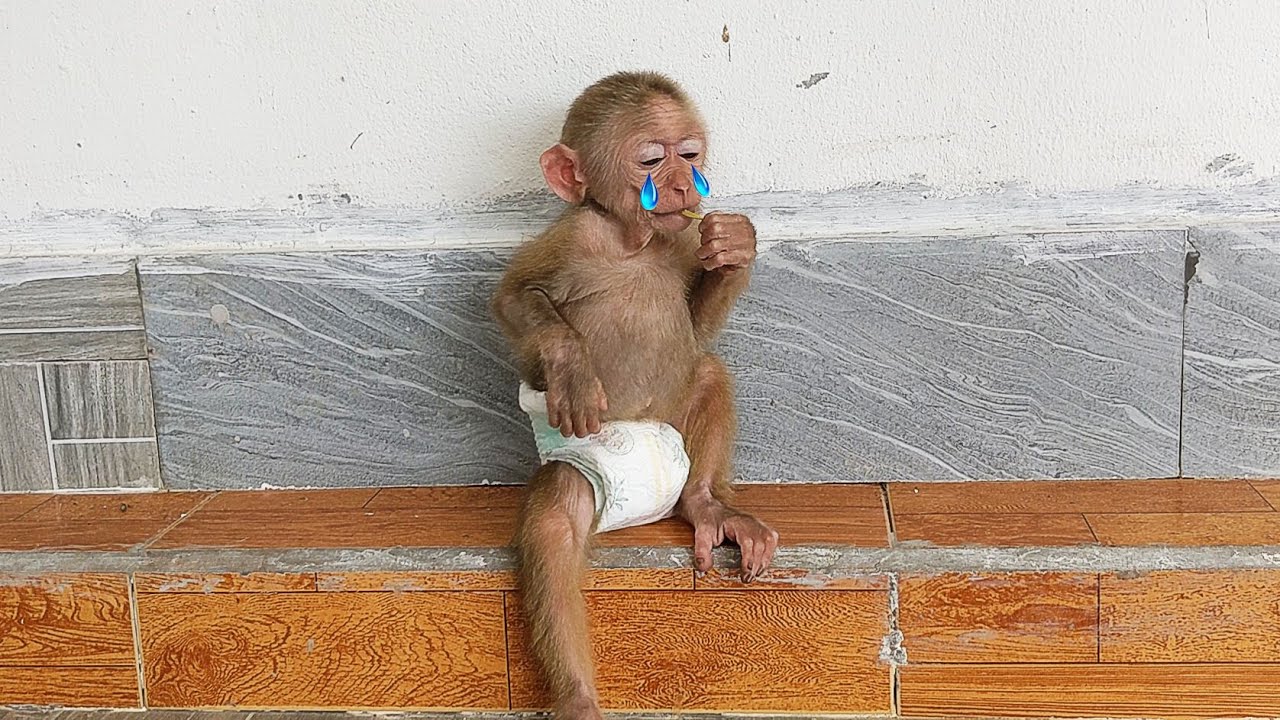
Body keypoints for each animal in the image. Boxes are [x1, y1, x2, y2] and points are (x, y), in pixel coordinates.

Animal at [491, 71, 778, 720]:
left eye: (690, 154)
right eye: (651, 159)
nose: (682, 184)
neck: (635, 239)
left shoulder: (683, 235)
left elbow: (696, 331)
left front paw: (735, 247)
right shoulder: (573, 235)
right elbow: (516, 299)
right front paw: (568, 365)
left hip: (673, 429)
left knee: (706, 372)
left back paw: (705, 504)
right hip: (588, 467)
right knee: (555, 520)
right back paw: (576, 695)